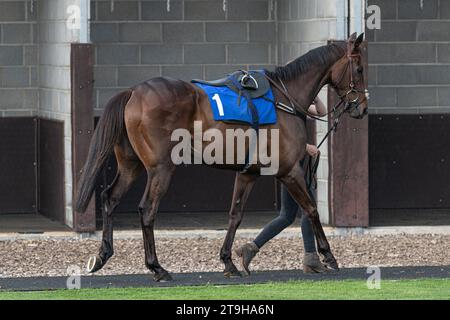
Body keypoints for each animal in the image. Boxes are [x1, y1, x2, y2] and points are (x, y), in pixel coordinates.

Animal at [75, 33, 368, 282]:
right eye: (360, 69)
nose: (362, 108)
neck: (283, 100)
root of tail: (134, 92)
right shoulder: (290, 171)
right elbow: (311, 209)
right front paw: (329, 255)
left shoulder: (248, 173)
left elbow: (235, 215)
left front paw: (229, 261)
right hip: (161, 168)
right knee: (147, 209)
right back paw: (157, 267)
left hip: (131, 165)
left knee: (110, 198)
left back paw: (102, 255)